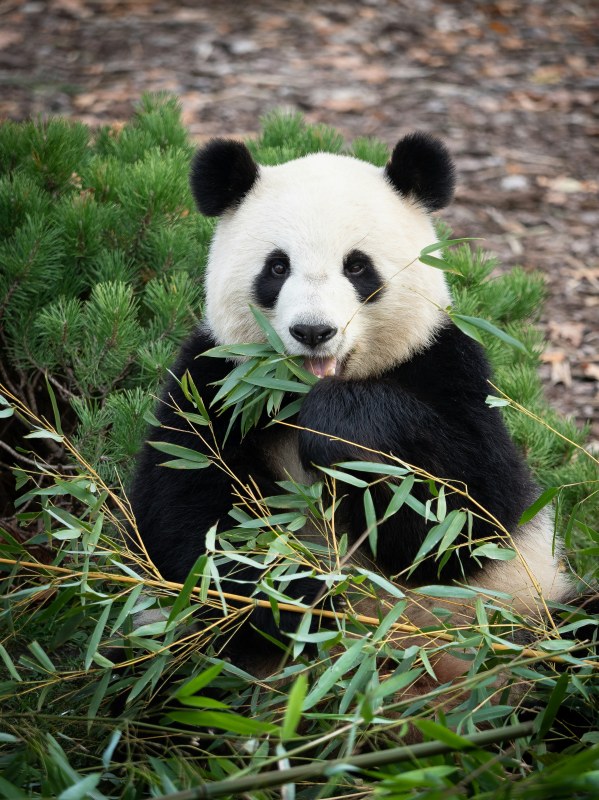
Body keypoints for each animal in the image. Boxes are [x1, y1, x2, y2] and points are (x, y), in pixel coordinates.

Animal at [129, 132, 573, 673]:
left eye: (357, 266)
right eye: (277, 267)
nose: (313, 331)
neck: (294, 395)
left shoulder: (447, 367)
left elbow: (466, 515)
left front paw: (337, 427)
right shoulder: (213, 384)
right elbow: (188, 516)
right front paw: (292, 601)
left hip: (529, 610)